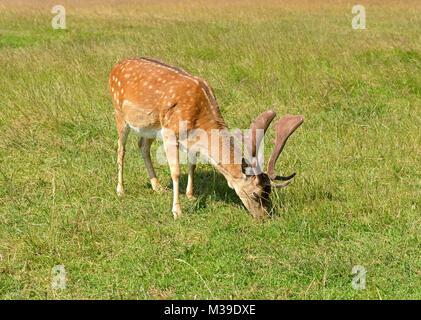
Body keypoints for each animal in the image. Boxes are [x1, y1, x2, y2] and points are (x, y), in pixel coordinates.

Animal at [108, 57, 302, 219]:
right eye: (257, 193)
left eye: (269, 193)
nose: (265, 216)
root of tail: (115, 66)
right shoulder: (169, 132)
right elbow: (176, 171)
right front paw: (177, 211)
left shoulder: (190, 140)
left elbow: (192, 164)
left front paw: (191, 195)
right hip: (120, 113)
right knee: (121, 149)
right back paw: (120, 190)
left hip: (150, 126)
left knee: (142, 145)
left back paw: (157, 187)